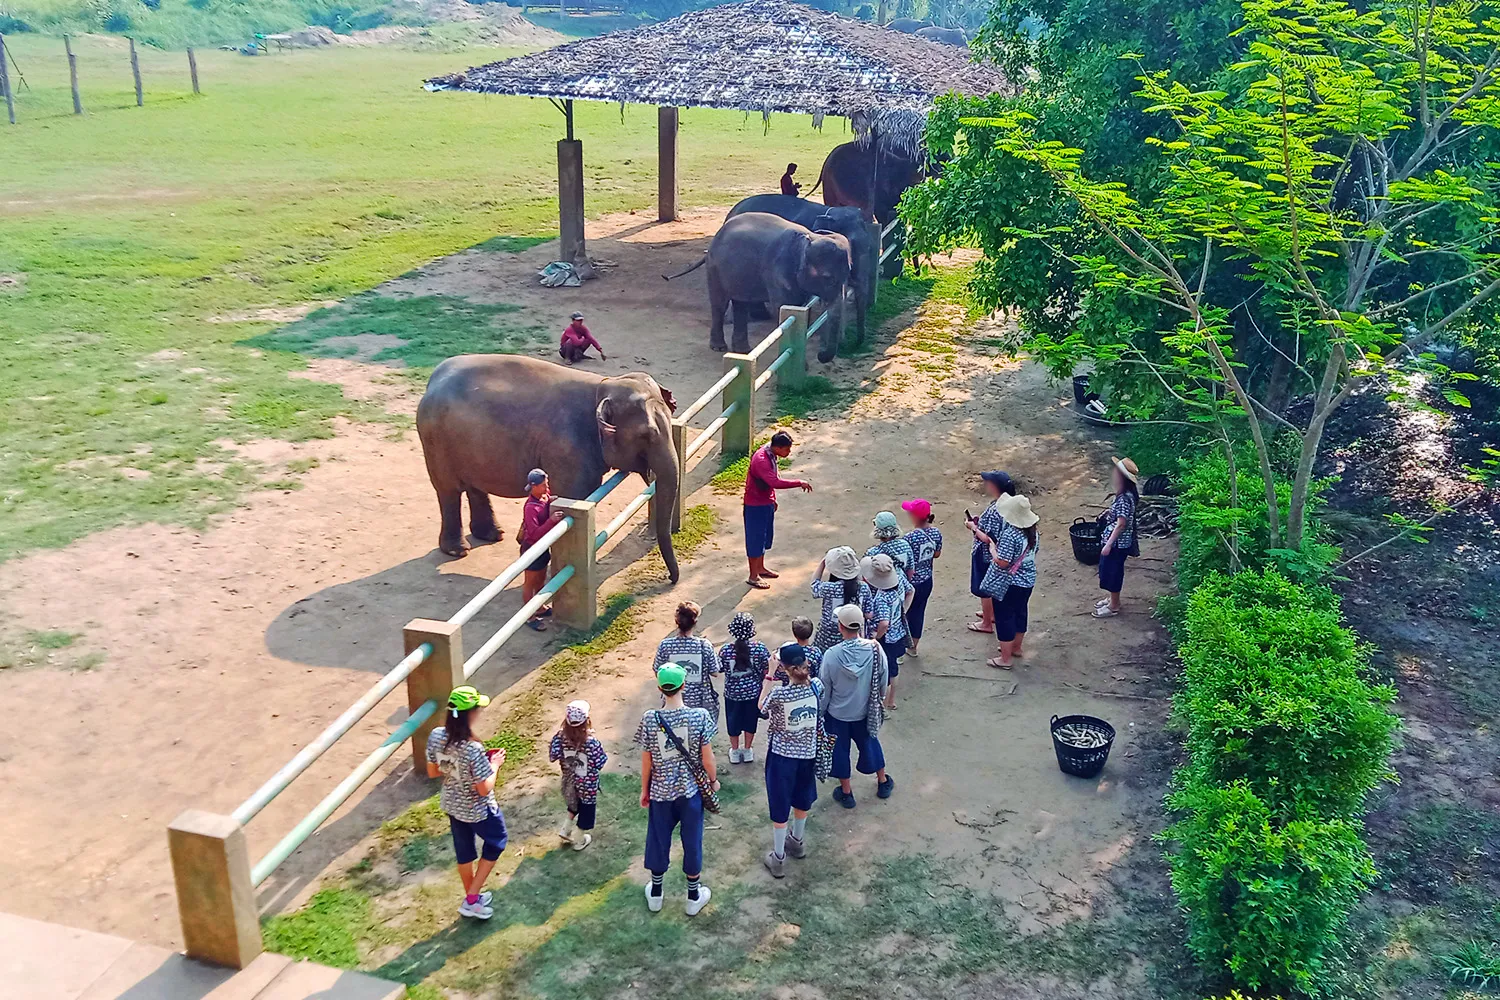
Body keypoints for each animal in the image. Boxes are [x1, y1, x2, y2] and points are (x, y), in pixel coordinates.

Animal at [420, 358, 684, 578]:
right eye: (646, 435)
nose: (670, 578)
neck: (605, 385)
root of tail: (432, 379)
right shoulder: (567, 451)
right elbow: (573, 496)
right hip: (435, 441)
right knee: (448, 490)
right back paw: (458, 550)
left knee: (475, 486)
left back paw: (493, 535)